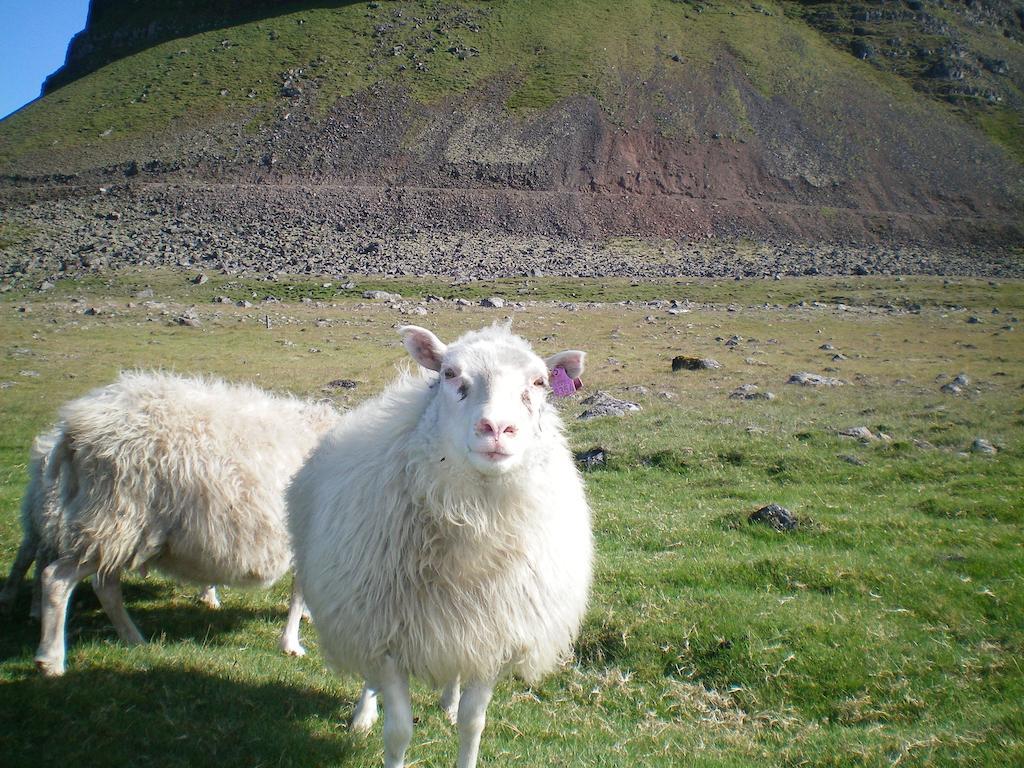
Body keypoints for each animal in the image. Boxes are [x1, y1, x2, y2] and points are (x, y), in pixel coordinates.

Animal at [24, 374, 337, 679]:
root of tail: (75, 428)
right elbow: (298, 594)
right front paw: (291, 643)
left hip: (117, 530)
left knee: (105, 585)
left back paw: (133, 639)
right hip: (113, 520)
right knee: (56, 579)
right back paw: (51, 660)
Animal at [288, 325, 593, 768]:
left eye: (539, 383)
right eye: (449, 373)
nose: (497, 428)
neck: (474, 522)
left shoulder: (494, 637)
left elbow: (473, 724)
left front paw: (461, 724)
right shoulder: (383, 635)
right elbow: (398, 731)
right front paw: (379, 728)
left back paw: (448, 700)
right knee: (369, 680)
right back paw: (363, 714)